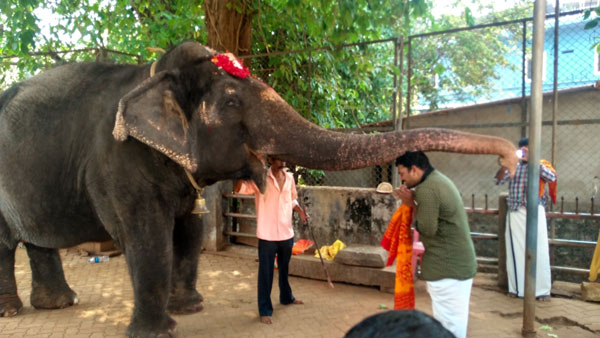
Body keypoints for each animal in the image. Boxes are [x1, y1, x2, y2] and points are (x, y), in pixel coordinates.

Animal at [0, 41, 516, 336]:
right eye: (231, 102)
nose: (510, 159)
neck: (152, 73)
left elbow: (190, 230)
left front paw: (191, 309)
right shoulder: (117, 161)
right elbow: (147, 237)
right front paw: (158, 331)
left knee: (37, 242)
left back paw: (59, 303)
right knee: (7, 243)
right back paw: (14, 313)